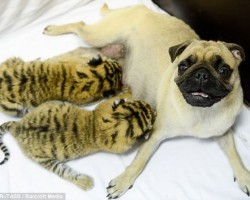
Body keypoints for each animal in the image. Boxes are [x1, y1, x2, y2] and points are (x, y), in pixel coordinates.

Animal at [43, 3, 250, 198]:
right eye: (183, 66)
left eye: (224, 70)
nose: (201, 74)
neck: (201, 111)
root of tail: (139, 8)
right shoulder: (156, 134)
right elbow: (139, 161)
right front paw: (123, 181)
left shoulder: (223, 133)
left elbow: (235, 155)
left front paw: (244, 176)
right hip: (100, 35)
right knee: (80, 25)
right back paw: (53, 31)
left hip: (105, 52)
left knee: (82, 49)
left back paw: (55, 57)